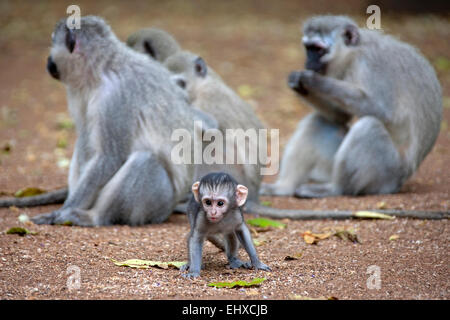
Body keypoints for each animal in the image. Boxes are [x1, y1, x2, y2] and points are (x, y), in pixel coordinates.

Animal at [260, 16, 440, 199]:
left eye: (318, 49)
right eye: (308, 48)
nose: (308, 62)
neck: (355, 54)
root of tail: (401, 180)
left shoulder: (372, 63)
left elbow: (382, 110)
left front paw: (312, 80)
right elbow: (340, 116)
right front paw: (297, 83)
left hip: (386, 175)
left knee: (368, 126)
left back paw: (336, 189)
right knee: (319, 121)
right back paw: (284, 187)